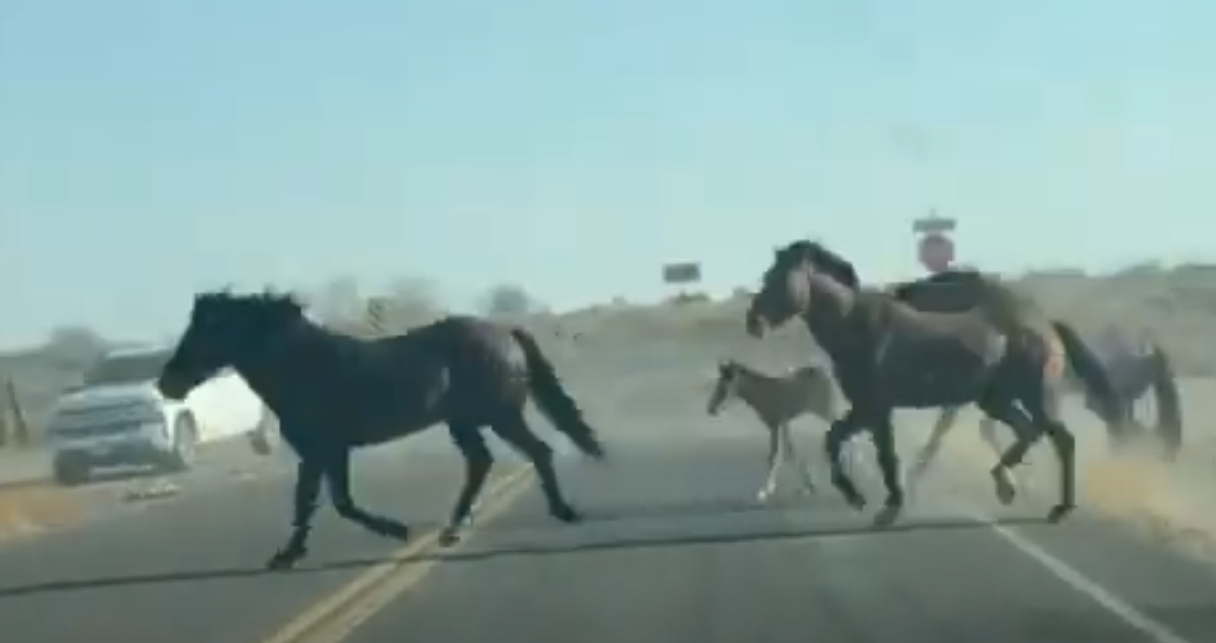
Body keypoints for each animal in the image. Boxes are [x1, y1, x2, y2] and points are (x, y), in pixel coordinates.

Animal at [154, 289, 605, 566]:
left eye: (205, 328)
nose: (166, 384)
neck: (303, 366)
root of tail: (505, 331)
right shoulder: (322, 452)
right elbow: (318, 501)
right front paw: (290, 554)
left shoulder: (325, 449)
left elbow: (329, 502)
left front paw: (396, 531)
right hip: (463, 421)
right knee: (481, 462)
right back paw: (454, 528)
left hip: (500, 415)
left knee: (536, 452)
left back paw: (563, 512)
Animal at [705, 357, 865, 498]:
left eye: (723, 388)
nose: (711, 409)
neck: (761, 395)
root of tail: (829, 375)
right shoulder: (783, 423)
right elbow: (789, 453)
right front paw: (807, 485)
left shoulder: (775, 424)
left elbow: (774, 456)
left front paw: (766, 490)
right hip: (823, 411)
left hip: (824, 409)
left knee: (842, 427)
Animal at [744, 240, 1123, 527]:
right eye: (766, 275)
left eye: (781, 278)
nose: (754, 322)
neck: (854, 325)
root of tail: (1045, 325)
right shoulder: (868, 408)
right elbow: (839, 440)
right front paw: (864, 499)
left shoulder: (874, 407)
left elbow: (880, 454)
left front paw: (880, 504)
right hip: (995, 399)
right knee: (1027, 431)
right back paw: (1006, 485)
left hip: (1034, 395)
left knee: (1061, 440)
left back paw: (1059, 507)